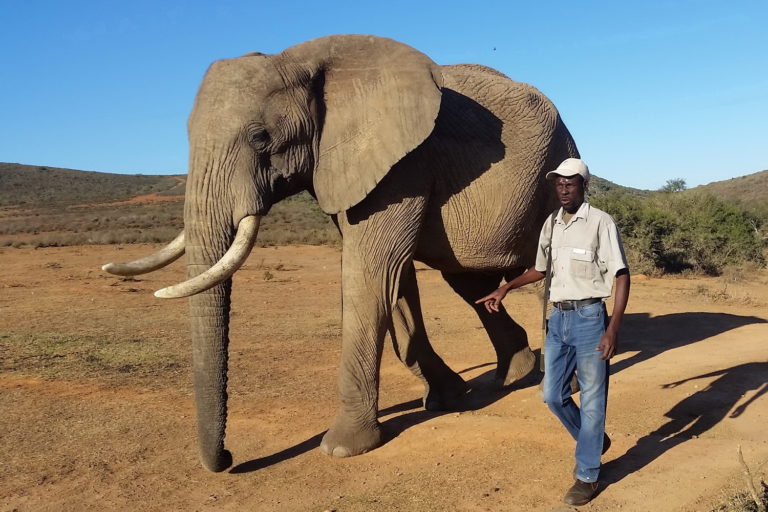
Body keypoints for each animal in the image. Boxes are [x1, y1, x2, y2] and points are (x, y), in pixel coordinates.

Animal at [102, 34, 579, 473]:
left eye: (260, 138)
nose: (230, 459)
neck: (300, 62)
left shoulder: (404, 164)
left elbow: (370, 274)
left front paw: (342, 447)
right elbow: (394, 283)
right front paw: (448, 398)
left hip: (555, 166)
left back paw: (557, 384)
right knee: (468, 282)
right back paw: (514, 374)